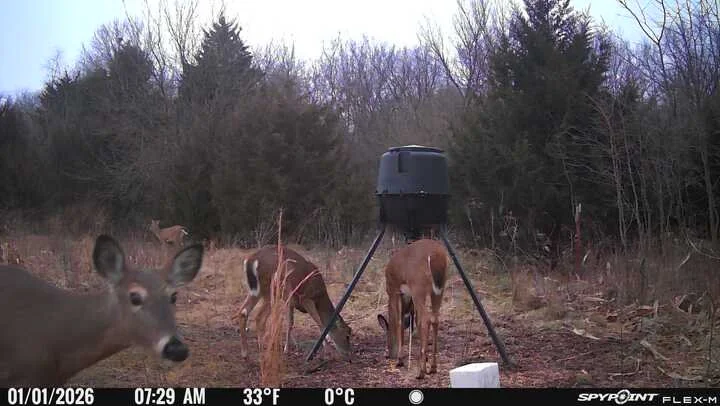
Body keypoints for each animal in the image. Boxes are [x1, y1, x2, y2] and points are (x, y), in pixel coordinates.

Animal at [376, 238, 448, 379]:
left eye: (386, 336)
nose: (387, 354)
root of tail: (436, 256)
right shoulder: (409, 298)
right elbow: (413, 321)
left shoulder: (394, 290)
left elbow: (399, 322)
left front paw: (400, 359)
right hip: (439, 289)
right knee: (435, 318)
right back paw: (432, 367)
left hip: (418, 286)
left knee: (426, 319)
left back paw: (421, 372)